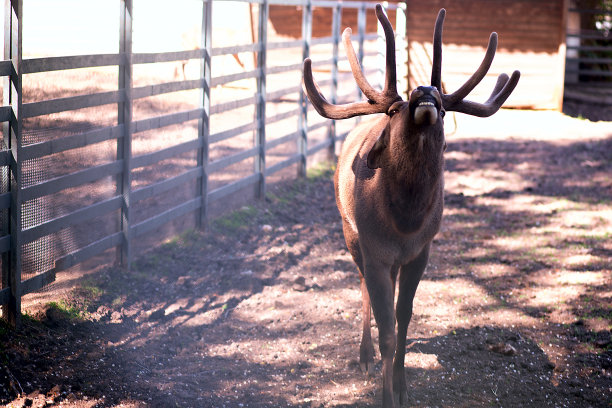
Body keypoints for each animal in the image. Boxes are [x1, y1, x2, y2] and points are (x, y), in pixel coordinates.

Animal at [302, 4, 516, 406]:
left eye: (446, 111)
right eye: (394, 111)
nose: (426, 90)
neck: (405, 222)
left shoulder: (421, 251)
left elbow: (404, 318)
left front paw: (402, 385)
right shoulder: (376, 251)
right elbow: (386, 328)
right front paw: (385, 393)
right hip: (349, 232)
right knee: (362, 286)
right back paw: (364, 354)